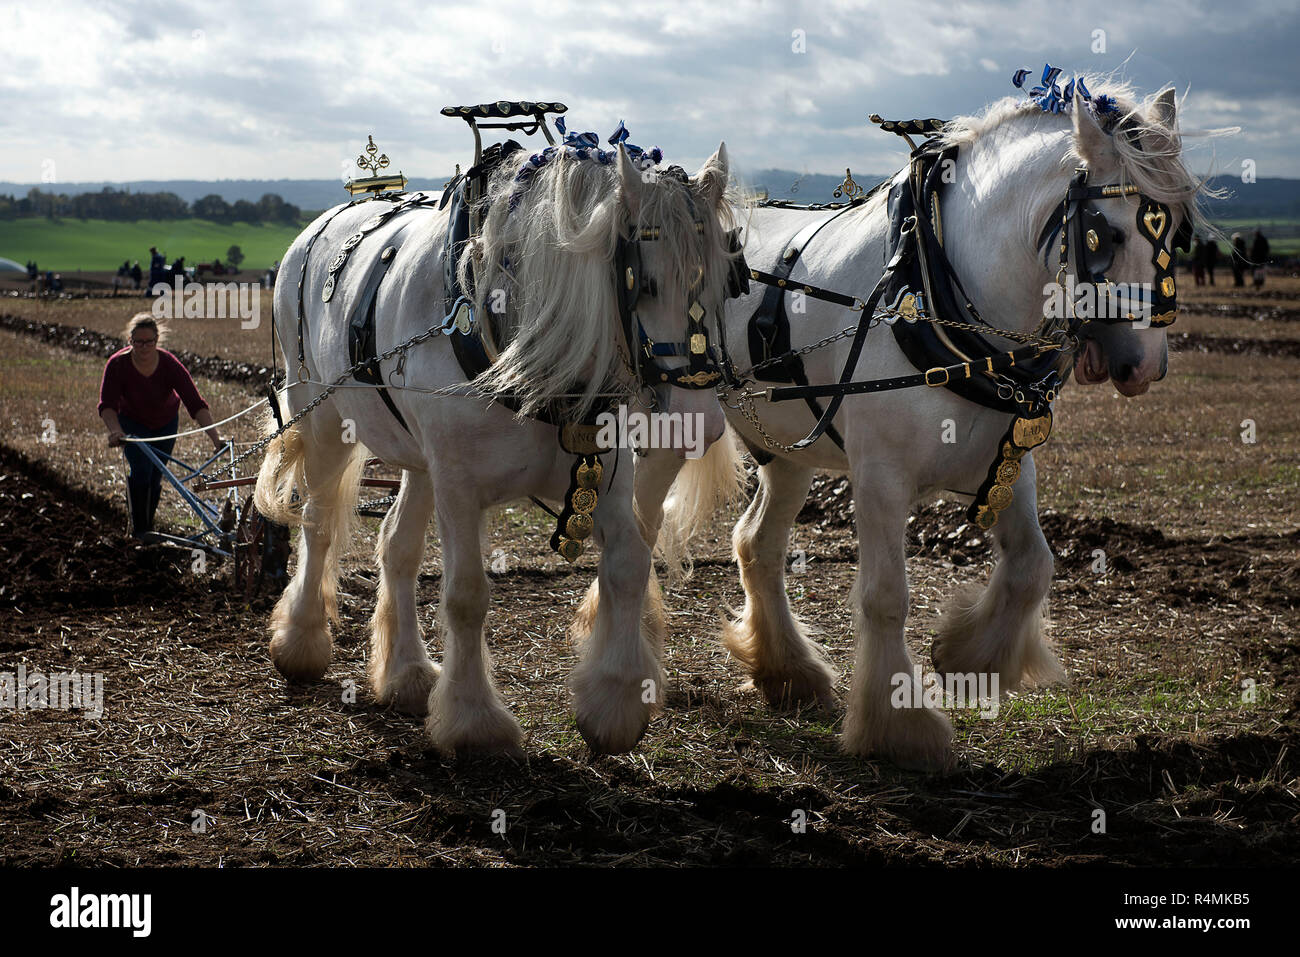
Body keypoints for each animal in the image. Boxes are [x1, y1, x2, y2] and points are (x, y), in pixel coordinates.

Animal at [255, 137, 740, 756]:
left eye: (728, 284)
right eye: (645, 283)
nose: (699, 423)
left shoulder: (603, 473)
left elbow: (629, 564)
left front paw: (615, 701)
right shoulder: (460, 486)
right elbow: (466, 594)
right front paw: (474, 721)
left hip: (422, 459)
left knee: (397, 546)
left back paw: (408, 673)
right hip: (322, 418)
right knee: (318, 525)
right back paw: (301, 642)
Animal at [622, 80, 1206, 770]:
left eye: (1177, 229)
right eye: (1104, 234)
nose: (1143, 365)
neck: (937, 291)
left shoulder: (1006, 461)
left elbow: (1033, 565)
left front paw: (967, 659)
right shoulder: (880, 475)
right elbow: (885, 596)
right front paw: (898, 725)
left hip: (789, 453)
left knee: (756, 545)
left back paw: (789, 672)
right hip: (674, 425)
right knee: (639, 534)